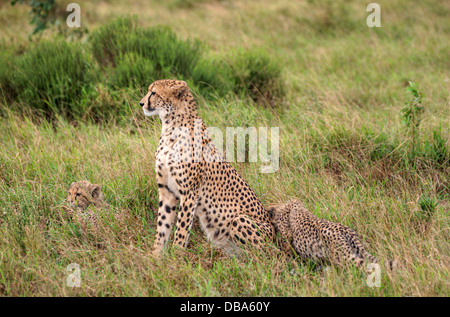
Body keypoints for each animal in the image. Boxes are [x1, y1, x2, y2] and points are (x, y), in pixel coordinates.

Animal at [140, 79, 274, 254]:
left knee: (261, 255)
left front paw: (177, 253)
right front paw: (156, 255)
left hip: (240, 219)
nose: (141, 103)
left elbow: (181, 228)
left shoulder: (189, 193)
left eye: (153, 93)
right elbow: (162, 225)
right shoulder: (166, 190)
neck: (171, 128)